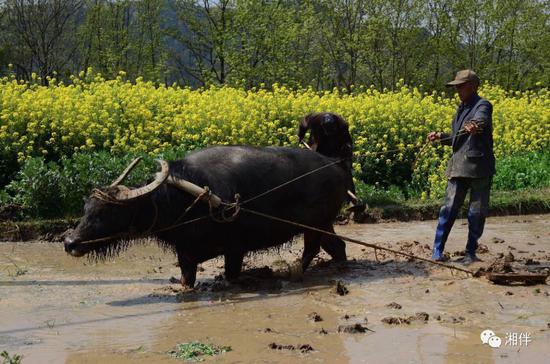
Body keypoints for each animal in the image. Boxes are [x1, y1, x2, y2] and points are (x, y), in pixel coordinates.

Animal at [64, 146, 350, 288]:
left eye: (107, 211)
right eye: (86, 208)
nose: (70, 243)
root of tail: (336, 167)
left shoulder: (235, 249)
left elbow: (231, 275)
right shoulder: (185, 253)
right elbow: (186, 280)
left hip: (318, 223)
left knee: (324, 247)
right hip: (320, 224)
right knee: (327, 247)